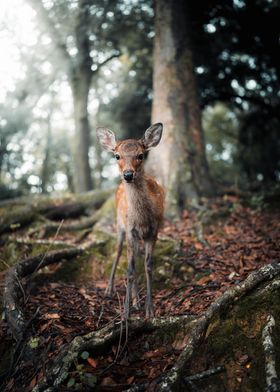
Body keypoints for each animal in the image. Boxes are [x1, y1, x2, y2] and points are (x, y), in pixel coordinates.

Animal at [97, 123, 164, 318]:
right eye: (117, 156)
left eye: (140, 155)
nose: (128, 174)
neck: (142, 218)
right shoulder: (130, 229)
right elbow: (130, 268)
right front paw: (125, 313)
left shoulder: (154, 230)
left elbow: (148, 266)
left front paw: (150, 309)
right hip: (120, 226)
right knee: (119, 252)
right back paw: (110, 290)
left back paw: (137, 301)